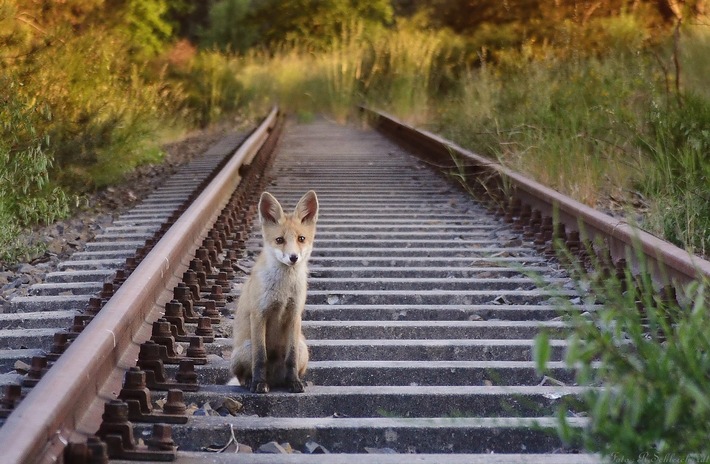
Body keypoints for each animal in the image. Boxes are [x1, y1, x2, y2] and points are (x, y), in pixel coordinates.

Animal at [231, 190, 320, 394]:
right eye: (280, 240)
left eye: (301, 239)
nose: (293, 257)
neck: (283, 291)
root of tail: (274, 380)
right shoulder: (259, 315)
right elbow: (260, 358)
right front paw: (258, 383)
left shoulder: (295, 315)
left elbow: (291, 359)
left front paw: (294, 382)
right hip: (245, 348)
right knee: (242, 375)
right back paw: (251, 381)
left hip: (303, 348)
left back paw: (289, 382)